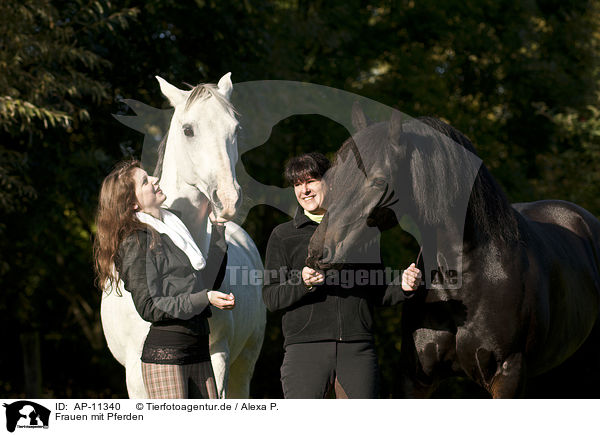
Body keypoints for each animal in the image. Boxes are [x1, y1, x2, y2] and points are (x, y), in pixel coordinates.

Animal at [100, 73, 264, 400]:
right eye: (188, 130)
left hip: (245, 362)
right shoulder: (136, 372)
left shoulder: (218, 359)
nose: (228, 200)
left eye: (235, 129)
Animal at [308, 105, 600, 398]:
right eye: (334, 178)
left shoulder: (508, 374)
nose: (317, 251)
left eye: (379, 181)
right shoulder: (414, 377)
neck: (464, 271)